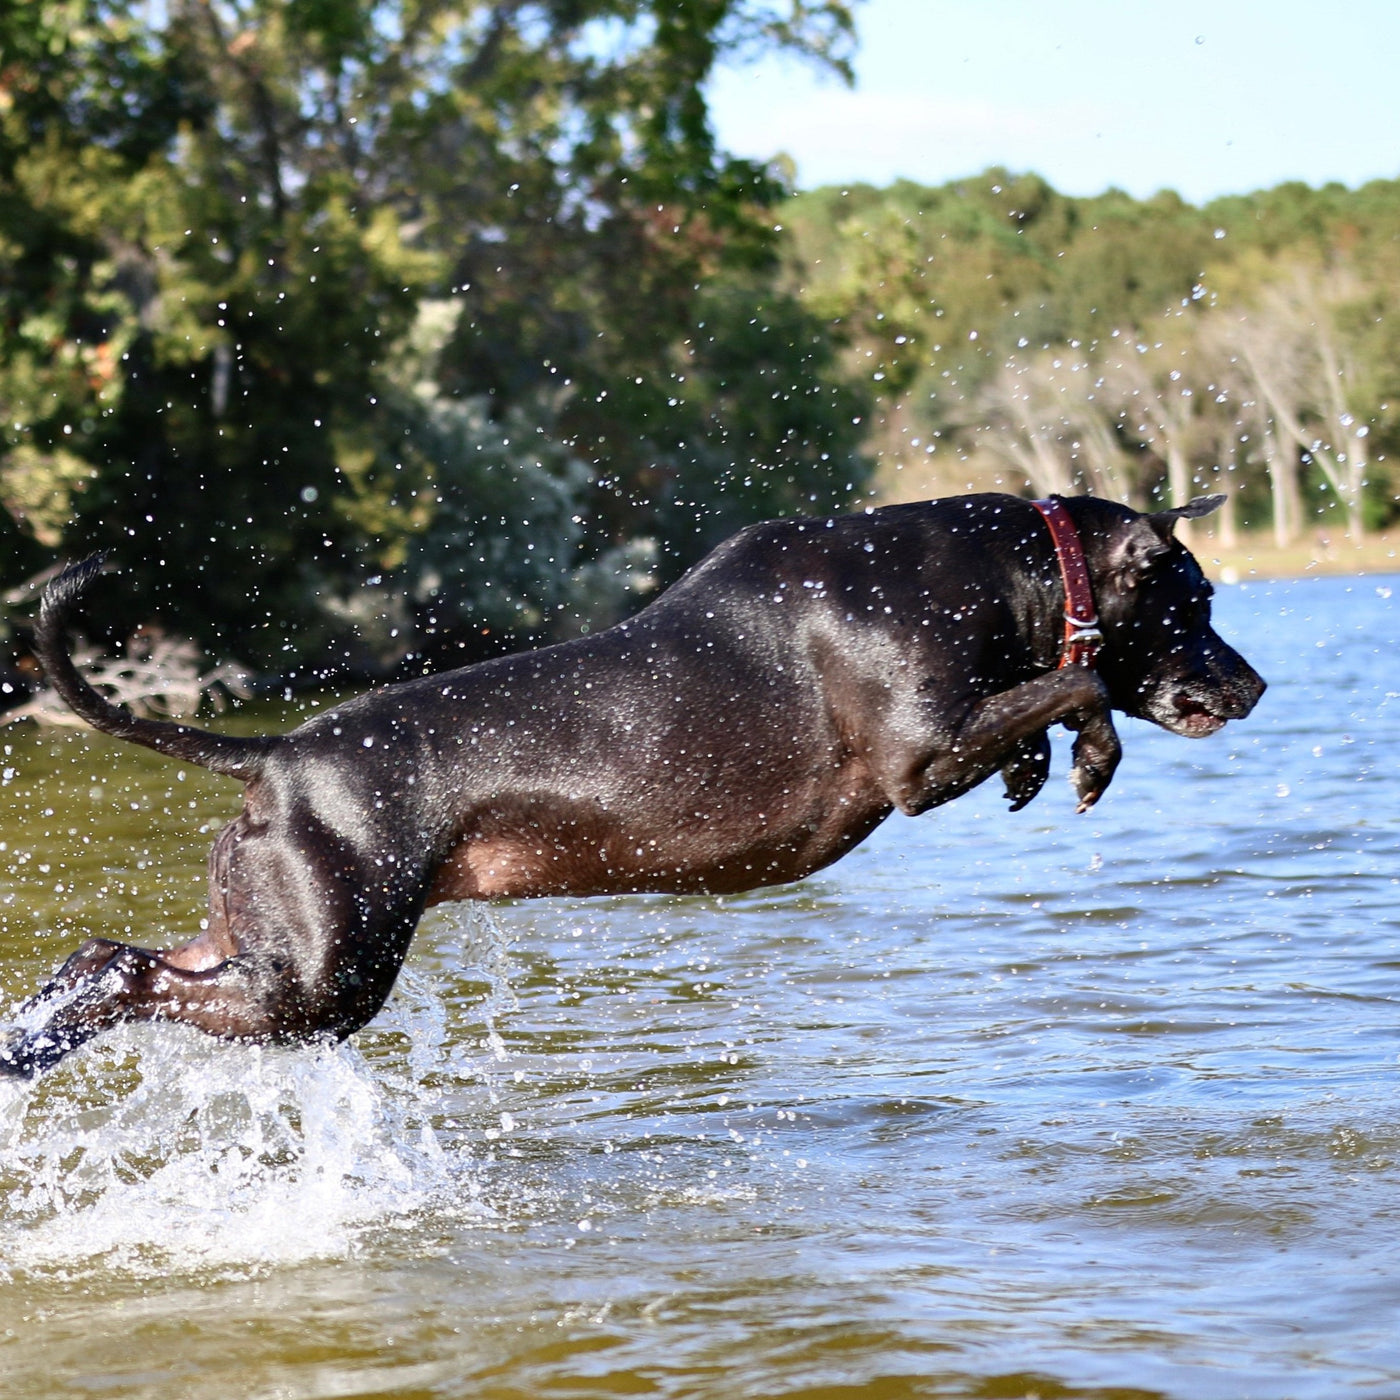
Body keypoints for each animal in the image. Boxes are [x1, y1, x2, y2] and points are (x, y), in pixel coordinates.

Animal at [0, 495, 1271, 1080]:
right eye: (1198, 600)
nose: (1253, 684)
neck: (996, 565)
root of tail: (271, 753)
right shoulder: (910, 764)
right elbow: (1077, 683)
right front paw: (1083, 754)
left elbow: (1046, 696)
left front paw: (1033, 767)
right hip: (321, 976)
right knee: (124, 971)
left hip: (263, 934)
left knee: (97, 953)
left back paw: (28, 1040)